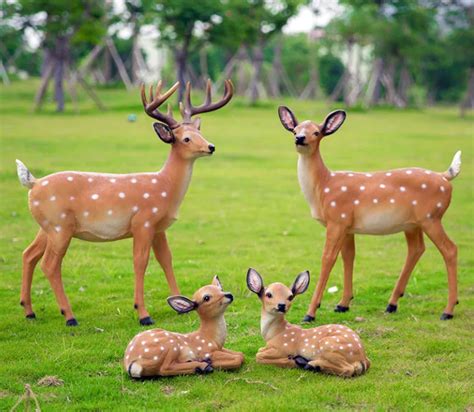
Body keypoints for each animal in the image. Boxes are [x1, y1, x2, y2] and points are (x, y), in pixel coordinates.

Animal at [16, 79, 233, 326]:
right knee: (50, 264)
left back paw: (29, 311)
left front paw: (181, 306)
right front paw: (143, 314)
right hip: (59, 225)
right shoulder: (143, 221)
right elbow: (140, 262)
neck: (165, 188)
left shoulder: (159, 228)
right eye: (186, 138)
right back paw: (69, 316)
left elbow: (166, 259)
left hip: (48, 227)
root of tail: (33, 183)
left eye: (199, 132)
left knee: (28, 254)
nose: (211, 146)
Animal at [278, 105, 462, 322]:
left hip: (431, 217)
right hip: (413, 223)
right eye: (295, 129)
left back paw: (448, 310)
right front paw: (343, 304)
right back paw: (392, 304)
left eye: (316, 132)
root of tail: (445, 177)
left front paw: (310, 313)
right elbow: (349, 256)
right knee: (416, 249)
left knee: (450, 249)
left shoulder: (337, 219)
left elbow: (327, 258)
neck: (322, 187)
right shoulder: (347, 226)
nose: (300, 138)